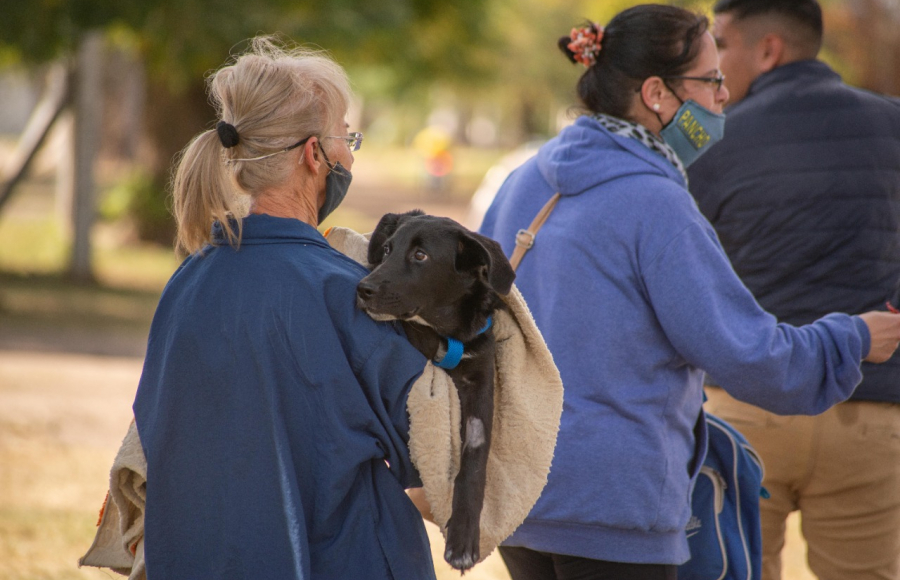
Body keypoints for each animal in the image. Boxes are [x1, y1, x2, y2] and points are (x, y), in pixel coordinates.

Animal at [356, 210, 516, 572]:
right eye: (386, 250)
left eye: (420, 255)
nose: (363, 289)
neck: (444, 331)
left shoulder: (481, 382)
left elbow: (475, 457)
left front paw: (463, 538)